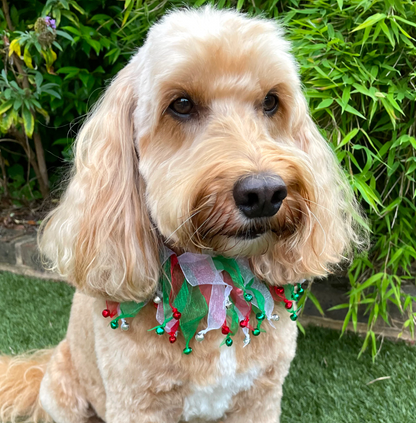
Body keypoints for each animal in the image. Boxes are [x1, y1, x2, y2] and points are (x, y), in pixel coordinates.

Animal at [0, 6, 362, 423]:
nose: (263, 193)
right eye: (182, 105)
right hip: (64, 394)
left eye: (271, 101)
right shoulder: (136, 403)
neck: (216, 274)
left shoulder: (260, 396)